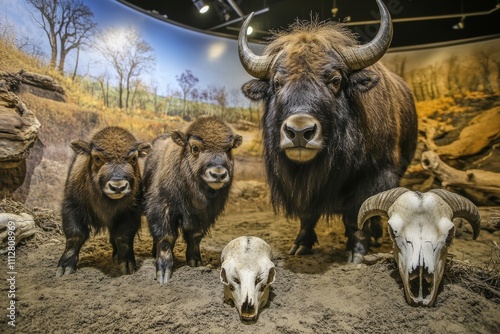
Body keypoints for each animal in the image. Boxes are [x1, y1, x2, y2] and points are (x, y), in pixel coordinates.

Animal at [56, 126, 151, 276]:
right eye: (97, 157)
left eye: (133, 158)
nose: (118, 187)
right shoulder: (73, 206)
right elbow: (75, 236)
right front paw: (65, 267)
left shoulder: (130, 212)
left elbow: (123, 236)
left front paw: (127, 264)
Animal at [144, 116, 243, 284]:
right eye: (195, 148)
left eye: (229, 149)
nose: (218, 174)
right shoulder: (162, 208)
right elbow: (166, 238)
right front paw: (163, 273)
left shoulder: (204, 215)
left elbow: (195, 236)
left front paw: (195, 262)